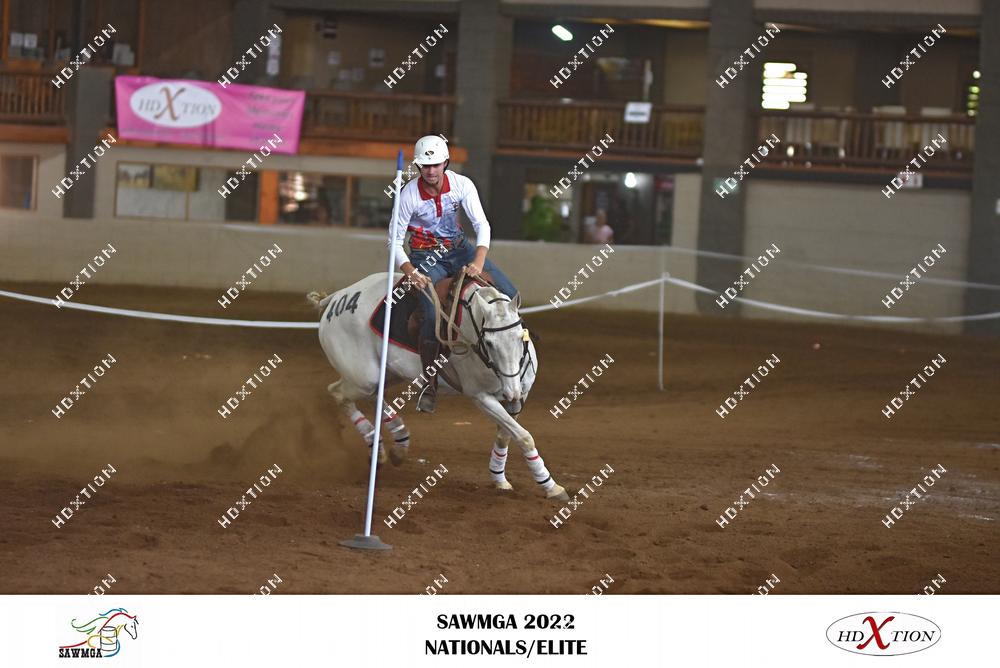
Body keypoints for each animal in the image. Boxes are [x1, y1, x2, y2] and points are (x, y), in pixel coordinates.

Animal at [308, 270, 568, 501]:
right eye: (489, 343)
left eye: (519, 335)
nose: (510, 391)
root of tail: (337, 298)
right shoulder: (481, 397)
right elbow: (523, 436)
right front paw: (551, 486)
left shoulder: (522, 394)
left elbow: (507, 434)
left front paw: (499, 478)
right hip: (363, 376)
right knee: (339, 394)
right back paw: (380, 447)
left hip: (386, 373)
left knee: (366, 394)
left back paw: (397, 442)